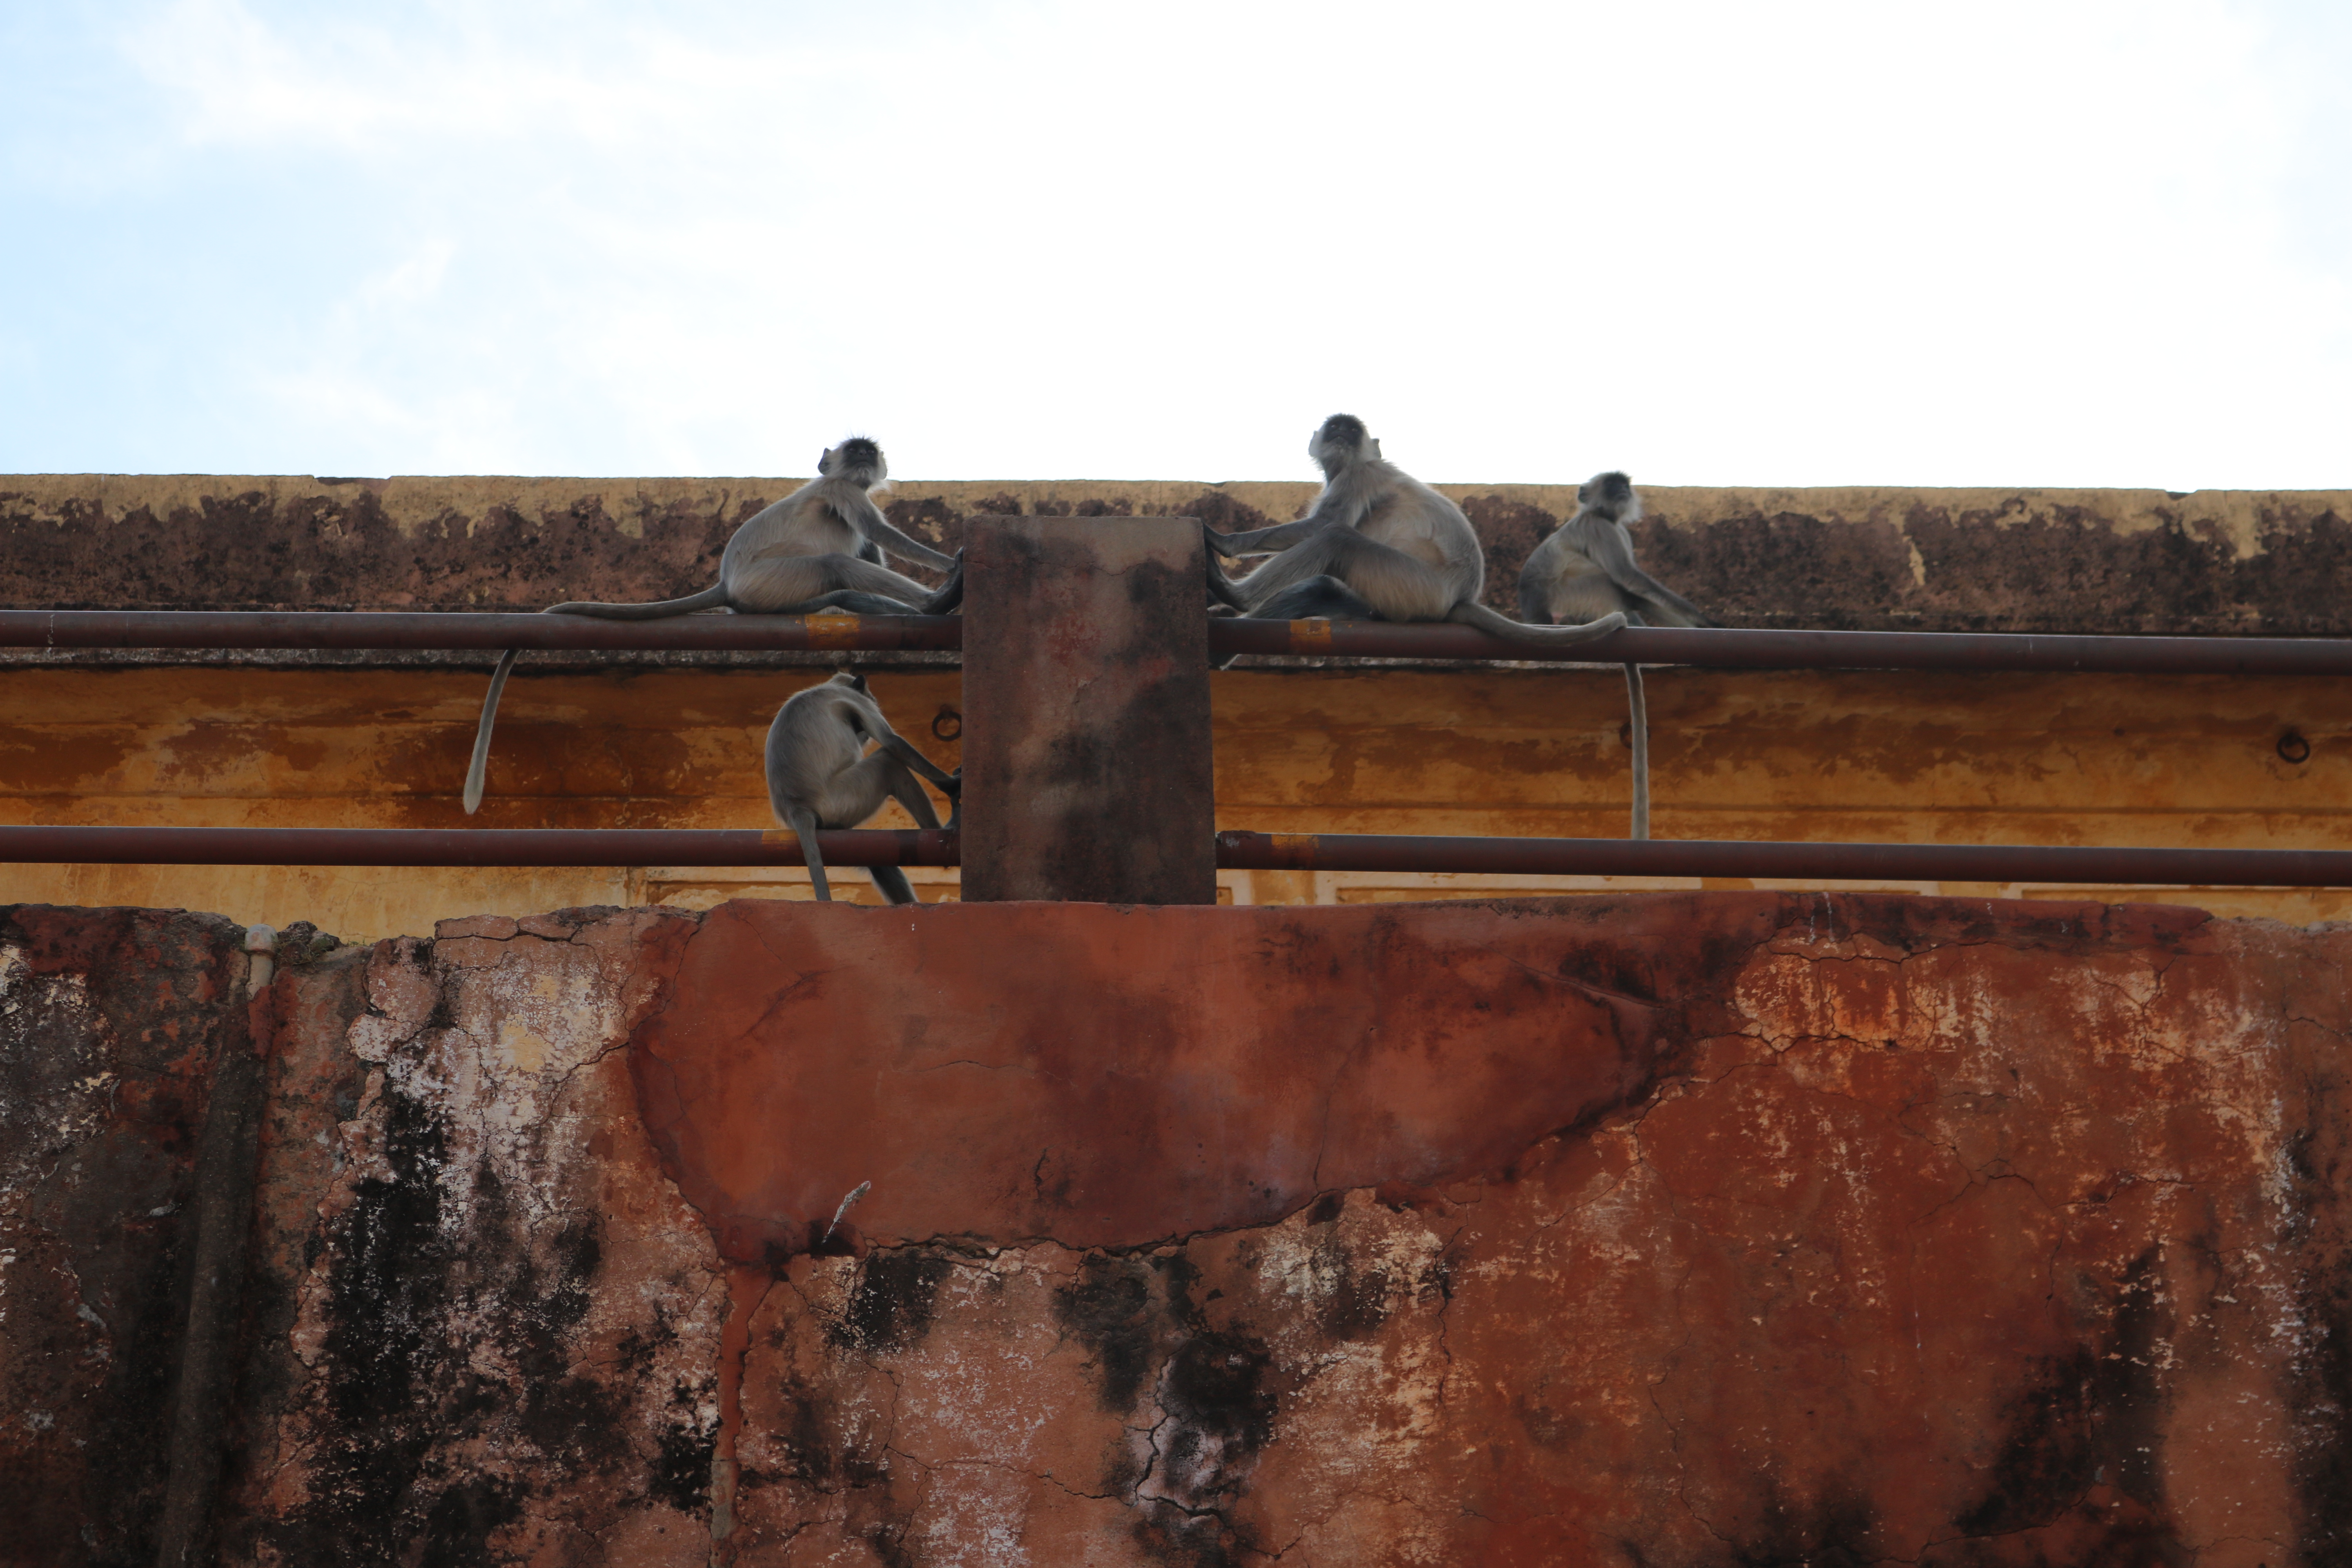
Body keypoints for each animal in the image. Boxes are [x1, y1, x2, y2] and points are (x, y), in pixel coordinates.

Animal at [463, 437, 964, 814]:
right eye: (854, 450)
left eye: (868, 451)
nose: (863, 457)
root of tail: (727, 583)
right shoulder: (842, 490)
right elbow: (881, 536)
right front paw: (950, 570)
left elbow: (873, 550)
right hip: (772, 580)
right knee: (835, 564)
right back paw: (938, 602)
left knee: (840, 582)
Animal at [765, 671, 960, 905]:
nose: (863, 736)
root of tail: (797, 809)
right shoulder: (853, 698)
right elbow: (892, 742)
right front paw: (952, 786)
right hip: (842, 800)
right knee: (888, 762)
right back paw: (943, 833)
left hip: (835, 828)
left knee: (878, 862)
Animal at [1200, 415, 1627, 658]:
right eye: (1335, 428)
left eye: (1352, 431)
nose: (1341, 434)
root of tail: (1460, 596)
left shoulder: (1361, 475)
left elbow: (1321, 526)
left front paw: (1224, 542)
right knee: (1318, 587)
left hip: (1418, 587)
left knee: (1337, 538)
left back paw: (1233, 595)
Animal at [1516, 471, 1716, 841]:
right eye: (1612, 485)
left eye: (1623, 483)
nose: (1622, 489)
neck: (1603, 515)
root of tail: (1535, 616)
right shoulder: (1600, 528)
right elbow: (1629, 577)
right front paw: (1707, 622)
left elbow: (1637, 585)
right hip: (1577, 596)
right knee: (1613, 584)